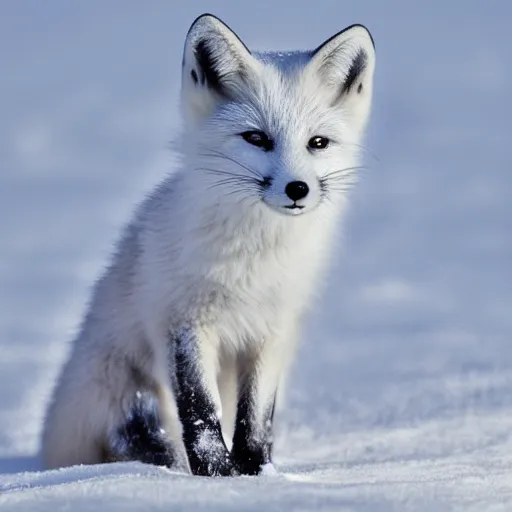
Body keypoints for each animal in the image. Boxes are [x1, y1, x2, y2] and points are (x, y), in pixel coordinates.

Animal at [41, 12, 376, 476]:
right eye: (256, 138)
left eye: (318, 143)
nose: (297, 189)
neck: (253, 262)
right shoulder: (184, 323)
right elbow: (200, 414)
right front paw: (218, 477)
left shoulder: (272, 330)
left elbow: (256, 419)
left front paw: (257, 475)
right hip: (131, 395)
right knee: (151, 440)